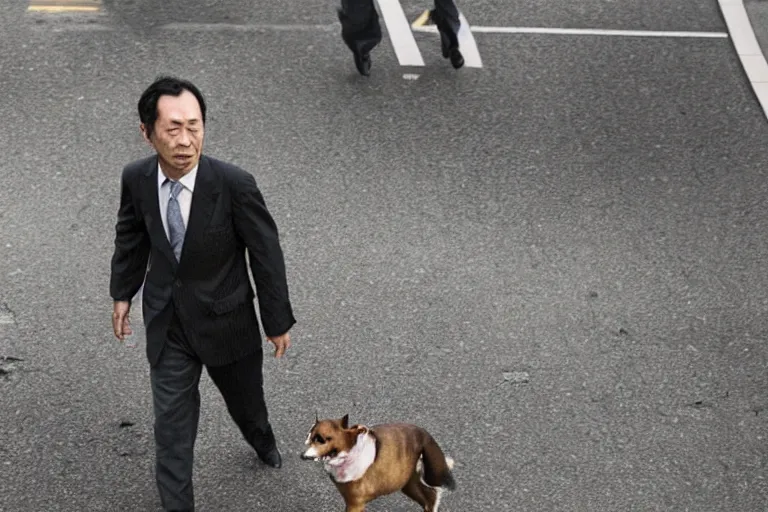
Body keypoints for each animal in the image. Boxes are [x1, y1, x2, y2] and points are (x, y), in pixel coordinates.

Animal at [300, 414, 456, 510]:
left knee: (431, 495)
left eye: (321, 439)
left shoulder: (355, 503)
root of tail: (424, 434)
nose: (302, 455)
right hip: (407, 482)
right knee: (429, 496)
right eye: (308, 436)